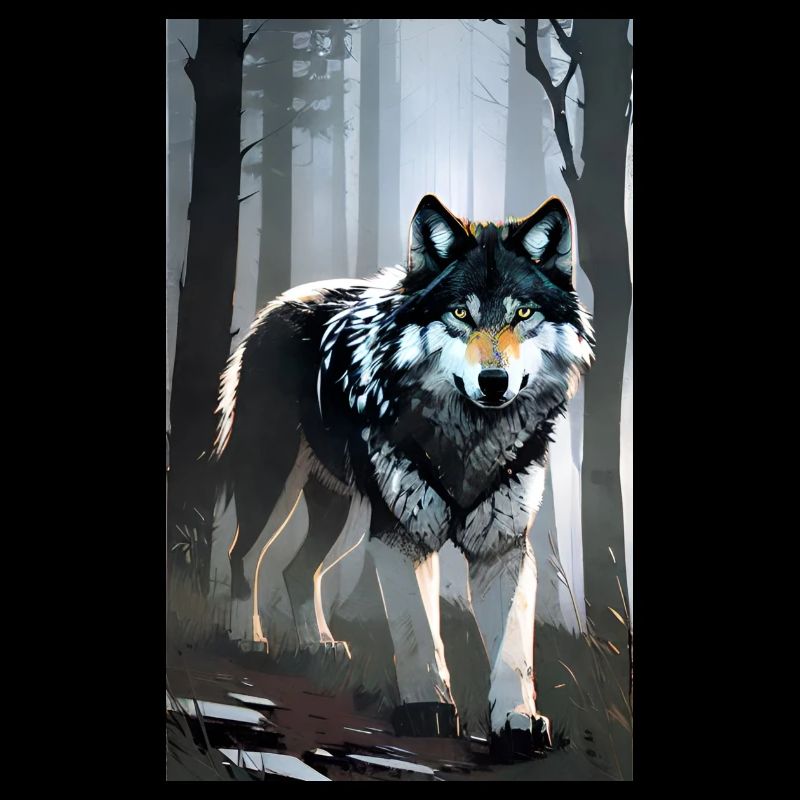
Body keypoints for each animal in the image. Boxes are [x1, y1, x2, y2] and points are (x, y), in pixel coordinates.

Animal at [213, 194, 593, 753]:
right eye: (460, 313)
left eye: (523, 313)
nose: (494, 381)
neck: (470, 439)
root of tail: (277, 304)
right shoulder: (400, 537)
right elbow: (417, 629)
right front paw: (427, 711)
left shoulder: (502, 547)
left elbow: (512, 651)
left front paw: (518, 721)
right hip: (280, 491)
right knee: (245, 555)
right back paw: (248, 637)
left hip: (347, 519)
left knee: (298, 569)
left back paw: (320, 645)